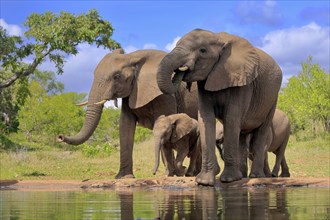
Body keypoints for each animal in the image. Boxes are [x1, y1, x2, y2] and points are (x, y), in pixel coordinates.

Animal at [58, 48, 197, 179]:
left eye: (117, 76)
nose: (60, 137)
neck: (132, 57)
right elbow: (125, 125)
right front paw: (124, 177)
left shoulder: (166, 95)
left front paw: (173, 174)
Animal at [157, 28, 282, 185]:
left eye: (202, 51)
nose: (182, 71)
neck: (218, 38)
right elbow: (206, 119)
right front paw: (204, 182)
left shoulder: (242, 82)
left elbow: (231, 118)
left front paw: (228, 180)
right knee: (241, 136)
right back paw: (242, 176)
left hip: (272, 99)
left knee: (260, 133)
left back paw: (254, 176)